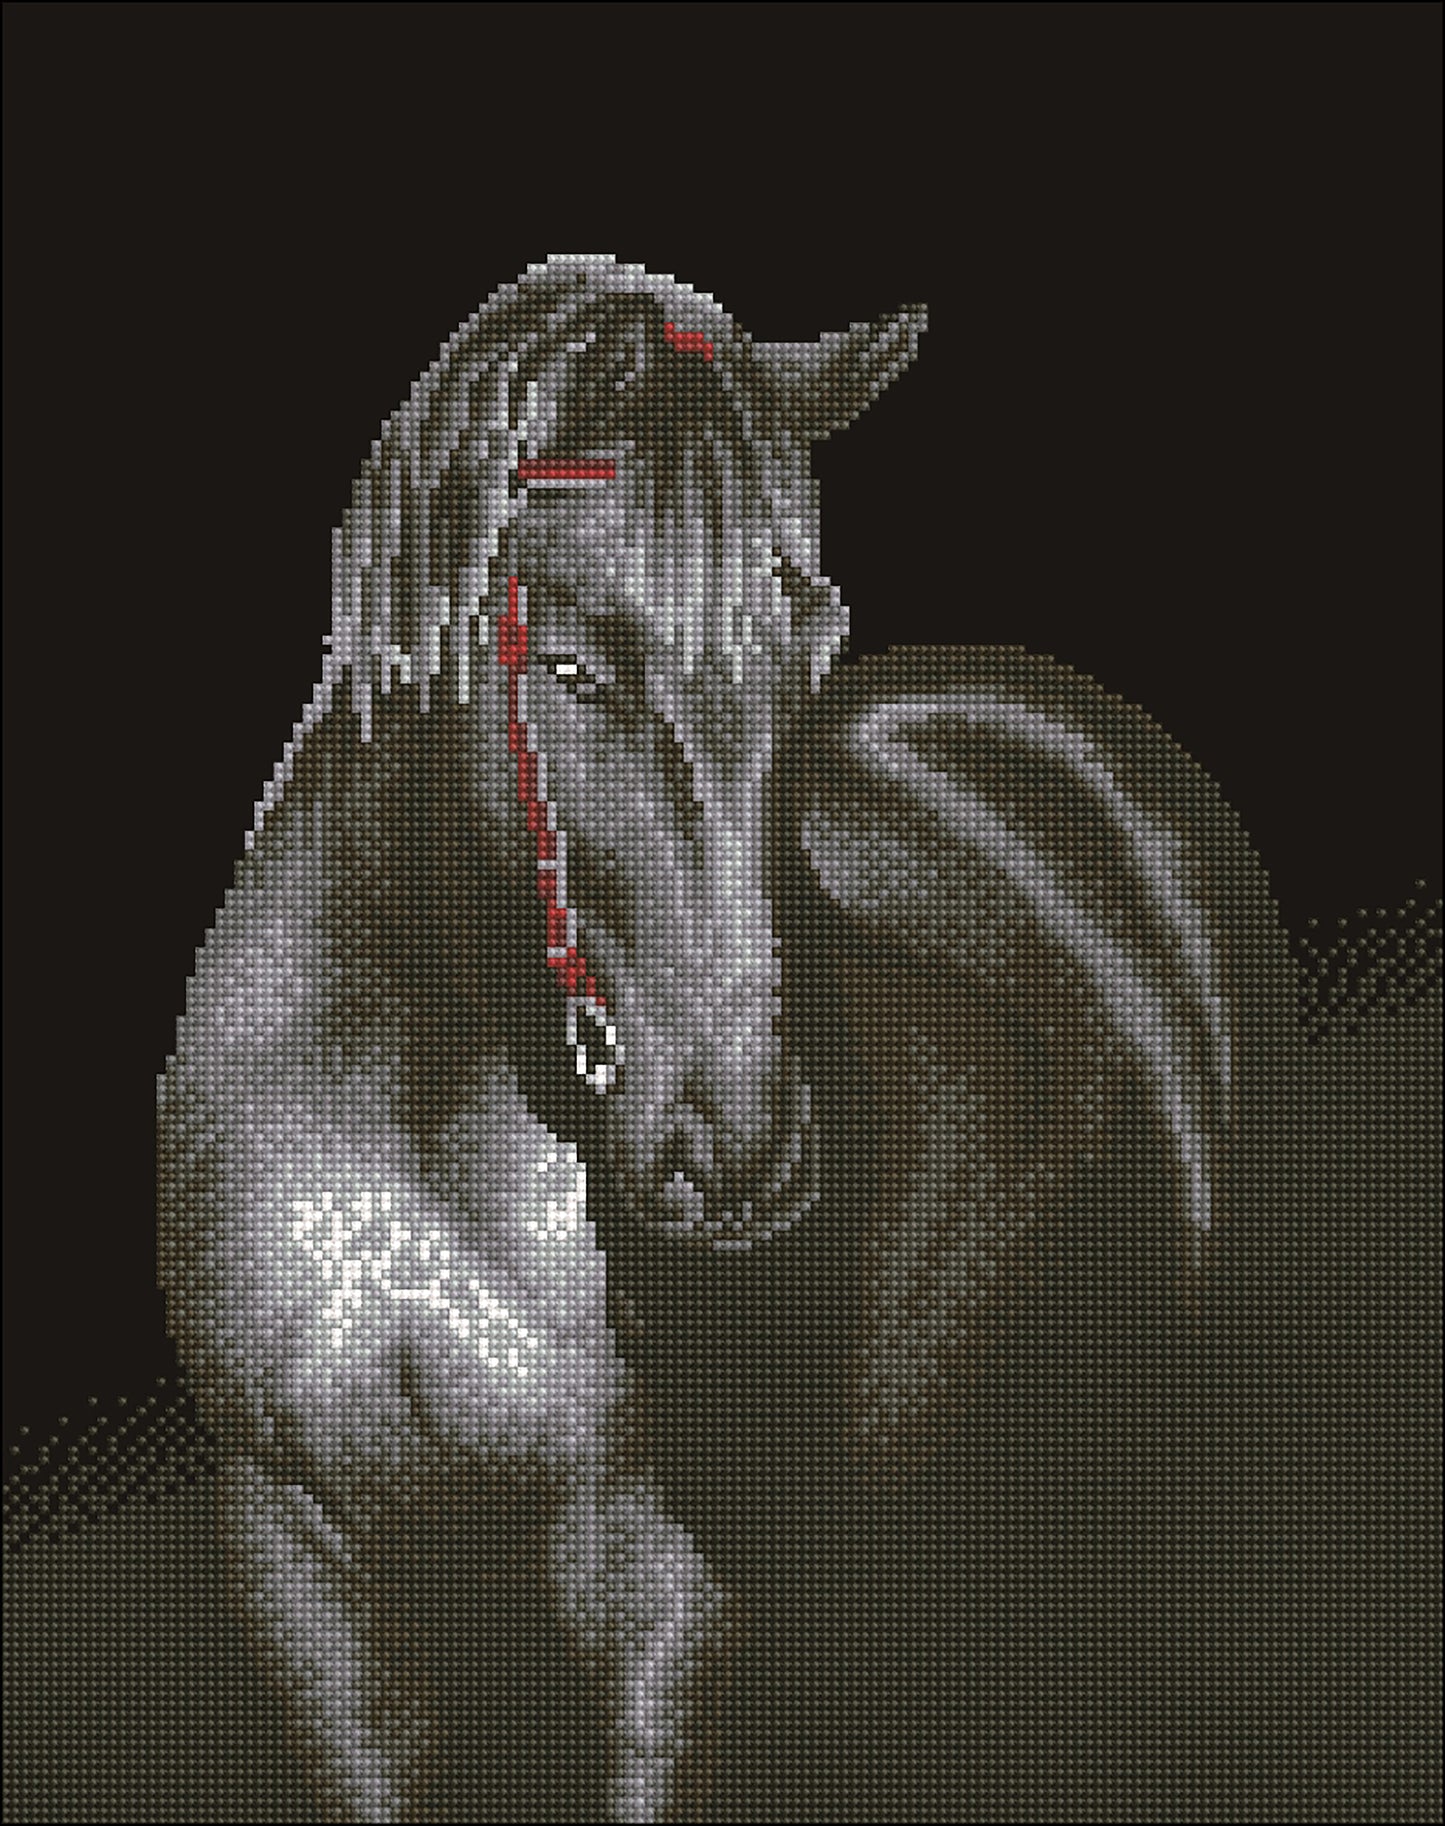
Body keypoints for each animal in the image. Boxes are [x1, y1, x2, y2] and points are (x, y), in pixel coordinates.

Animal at [157, 255, 1267, 1821]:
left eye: (811, 636)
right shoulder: (306, 1560)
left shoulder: (656, 1581)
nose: (739, 1151)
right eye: (568, 666)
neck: (408, 1155)